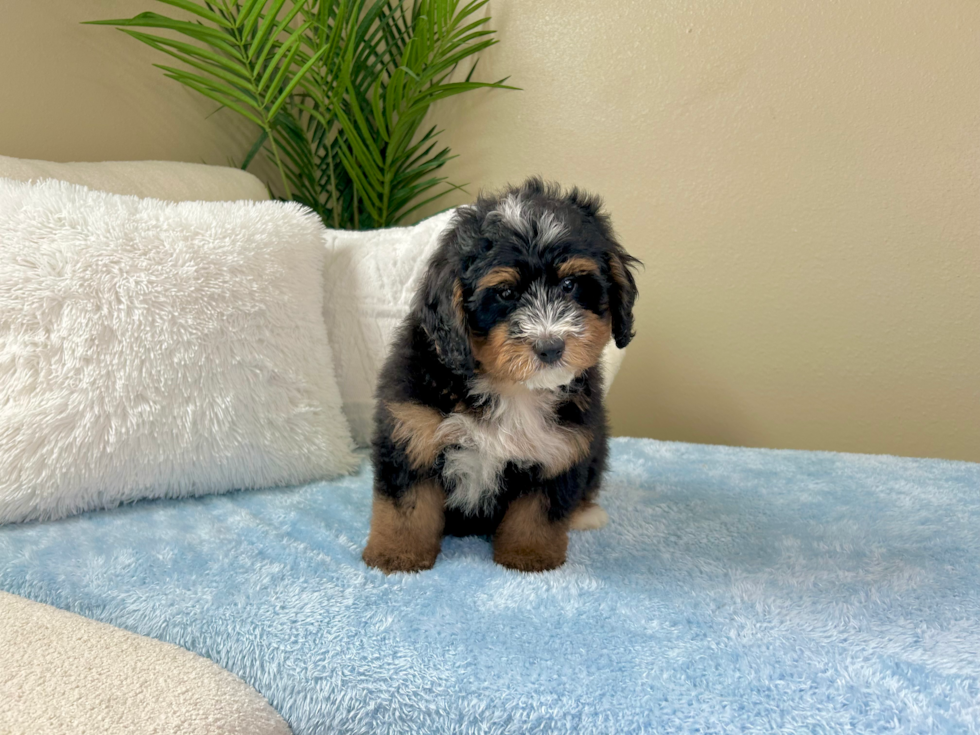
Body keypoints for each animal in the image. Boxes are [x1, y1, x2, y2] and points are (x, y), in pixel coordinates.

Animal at [364, 178, 640, 576]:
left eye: (570, 285)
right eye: (506, 293)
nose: (550, 346)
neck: (511, 387)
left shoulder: (561, 447)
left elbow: (538, 513)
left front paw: (529, 555)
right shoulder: (412, 431)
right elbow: (406, 506)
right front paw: (396, 554)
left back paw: (587, 514)